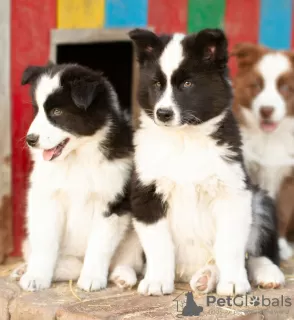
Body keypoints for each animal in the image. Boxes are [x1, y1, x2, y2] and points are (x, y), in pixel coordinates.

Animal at [12, 63, 142, 292]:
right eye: (37, 111)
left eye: (57, 112)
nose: (30, 140)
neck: (78, 157)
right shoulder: (48, 199)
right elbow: (45, 243)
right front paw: (36, 277)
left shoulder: (111, 204)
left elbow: (99, 245)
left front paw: (92, 278)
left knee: (125, 261)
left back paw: (122, 276)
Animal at [129, 28, 284, 296]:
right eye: (156, 84)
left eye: (187, 84)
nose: (163, 113)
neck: (184, 140)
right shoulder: (146, 195)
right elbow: (159, 244)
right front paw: (157, 281)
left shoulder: (234, 192)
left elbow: (230, 245)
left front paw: (233, 283)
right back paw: (205, 277)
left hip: (260, 199)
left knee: (257, 253)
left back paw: (263, 274)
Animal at [232, 43, 294, 262]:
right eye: (257, 86)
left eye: (285, 88)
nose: (266, 110)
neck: (271, 138)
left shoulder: (289, 178)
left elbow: (282, 212)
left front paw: (281, 247)